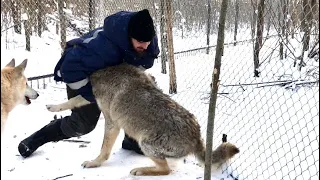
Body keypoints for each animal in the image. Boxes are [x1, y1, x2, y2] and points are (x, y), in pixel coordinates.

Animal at [46, 63, 239, 176]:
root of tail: (197, 137)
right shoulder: (92, 98)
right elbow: (73, 100)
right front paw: (52, 107)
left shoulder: (111, 122)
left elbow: (104, 150)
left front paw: (94, 163)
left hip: (145, 143)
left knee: (166, 170)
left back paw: (139, 170)